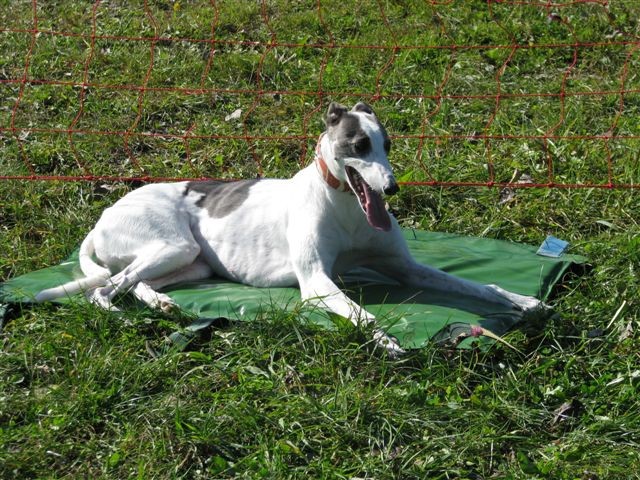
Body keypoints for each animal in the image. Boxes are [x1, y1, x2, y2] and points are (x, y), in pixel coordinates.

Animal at [35, 102, 548, 356]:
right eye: (358, 145)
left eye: (387, 143)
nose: (392, 187)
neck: (344, 205)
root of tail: (103, 216)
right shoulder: (317, 282)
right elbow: (363, 314)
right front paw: (384, 339)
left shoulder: (406, 269)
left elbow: (481, 286)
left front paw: (523, 300)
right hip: (170, 244)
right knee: (106, 288)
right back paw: (122, 315)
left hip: (190, 262)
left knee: (136, 282)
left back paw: (160, 303)